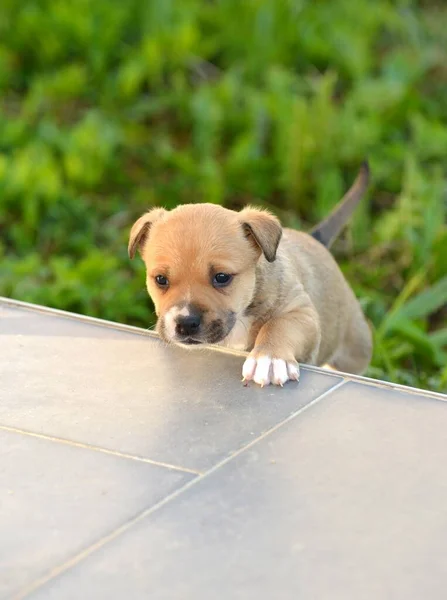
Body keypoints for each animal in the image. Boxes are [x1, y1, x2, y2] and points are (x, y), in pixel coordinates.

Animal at [130, 164, 374, 386]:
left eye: (222, 277)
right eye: (161, 280)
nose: (186, 323)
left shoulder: (302, 313)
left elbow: (279, 325)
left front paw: (270, 359)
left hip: (355, 345)